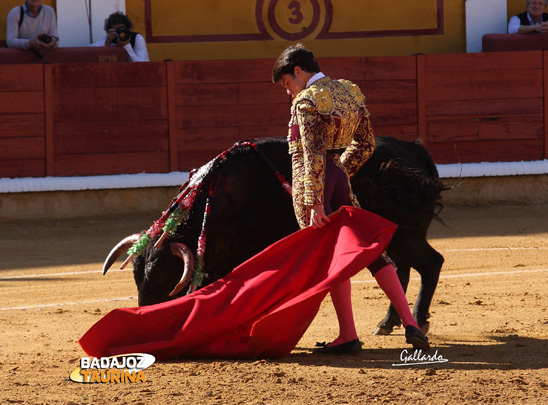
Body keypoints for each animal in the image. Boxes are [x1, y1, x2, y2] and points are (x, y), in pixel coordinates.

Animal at [105, 136, 448, 334]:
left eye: (164, 275)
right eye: (136, 276)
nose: (143, 313)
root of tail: (416, 151)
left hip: (405, 234)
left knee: (429, 263)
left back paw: (417, 321)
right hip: (398, 236)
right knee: (403, 268)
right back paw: (390, 323)